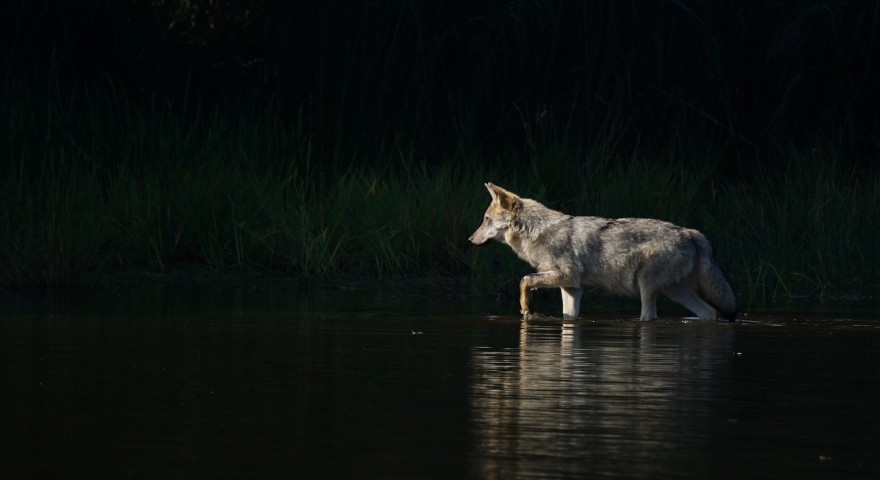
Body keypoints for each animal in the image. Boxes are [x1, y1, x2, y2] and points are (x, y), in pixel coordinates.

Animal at [468, 184, 736, 322]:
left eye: (485, 220)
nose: (470, 240)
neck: (537, 232)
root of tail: (691, 232)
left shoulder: (566, 277)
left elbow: (524, 280)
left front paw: (527, 309)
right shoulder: (572, 288)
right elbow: (568, 316)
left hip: (647, 288)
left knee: (649, 318)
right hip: (676, 293)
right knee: (711, 312)